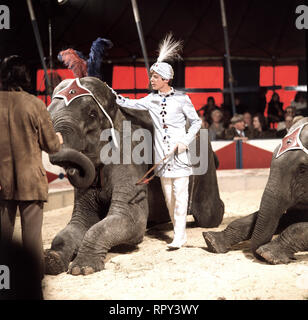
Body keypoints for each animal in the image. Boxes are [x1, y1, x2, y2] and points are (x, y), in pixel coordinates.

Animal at [44, 75, 224, 276]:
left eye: (92, 114)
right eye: (48, 114)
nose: (72, 170)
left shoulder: (130, 152)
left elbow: (130, 218)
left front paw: (82, 268)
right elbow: (81, 220)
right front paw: (51, 260)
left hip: (205, 166)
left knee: (208, 215)